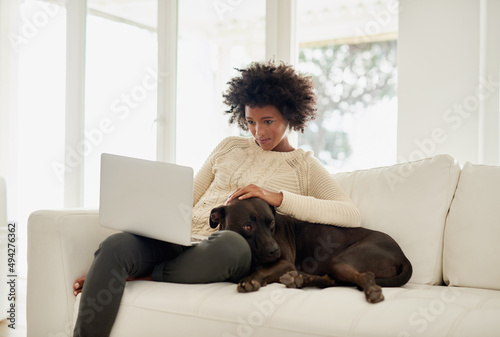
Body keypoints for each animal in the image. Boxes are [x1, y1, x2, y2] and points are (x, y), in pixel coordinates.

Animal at [209, 197, 412, 302]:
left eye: (271, 223)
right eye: (248, 227)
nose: (275, 250)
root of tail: (403, 256)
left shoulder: (285, 263)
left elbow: (263, 270)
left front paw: (250, 280)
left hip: (340, 260)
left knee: (363, 276)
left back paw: (373, 292)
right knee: (333, 280)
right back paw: (299, 280)